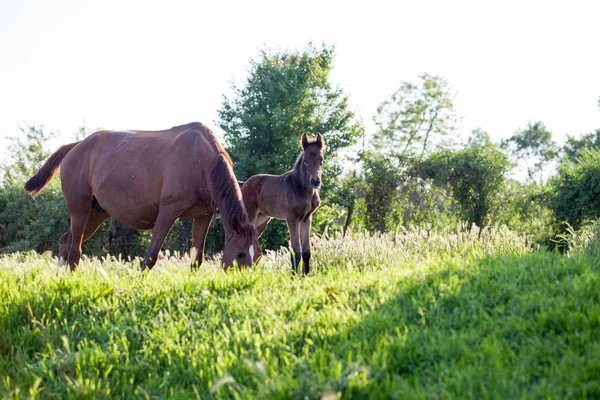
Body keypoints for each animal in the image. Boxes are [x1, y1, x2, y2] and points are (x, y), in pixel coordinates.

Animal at [23, 122, 262, 272]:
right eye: (240, 254)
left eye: (258, 256)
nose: (245, 284)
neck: (202, 161)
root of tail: (75, 146)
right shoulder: (168, 212)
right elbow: (151, 256)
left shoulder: (203, 216)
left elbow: (197, 259)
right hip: (79, 210)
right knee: (74, 249)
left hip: (96, 213)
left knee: (66, 242)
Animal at [239, 132, 326, 276]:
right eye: (306, 161)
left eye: (321, 159)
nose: (315, 181)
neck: (302, 188)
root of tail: (243, 184)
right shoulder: (292, 219)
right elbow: (296, 251)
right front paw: (294, 276)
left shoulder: (307, 218)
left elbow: (306, 251)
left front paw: (306, 276)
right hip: (250, 216)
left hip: (261, 219)